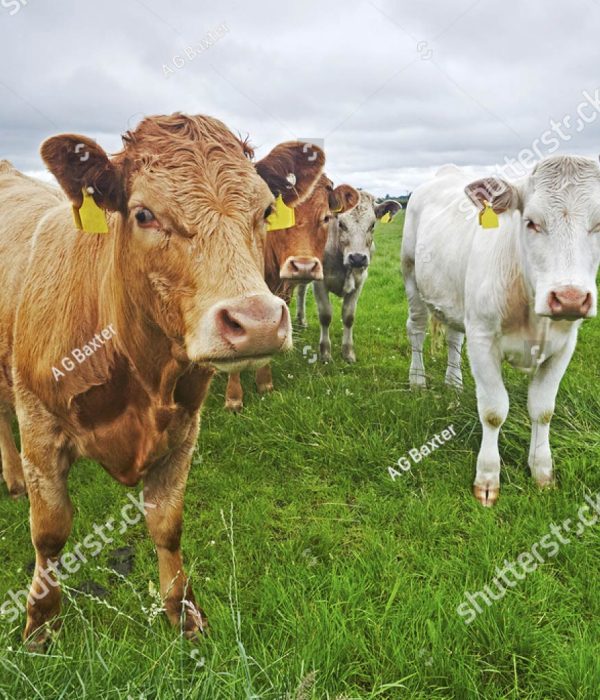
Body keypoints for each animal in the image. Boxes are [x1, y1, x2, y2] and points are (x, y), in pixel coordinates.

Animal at [0, 113, 325, 648]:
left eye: (264, 210)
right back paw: (13, 479)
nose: (257, 321)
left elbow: (167, 523)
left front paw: (183, 613)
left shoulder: (184, 430)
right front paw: (40, 626)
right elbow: (49, 532)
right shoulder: (40, 424)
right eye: (144, 214)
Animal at [296, 191, 401, 362]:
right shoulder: (320, 283)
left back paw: (301, 320)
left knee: (301, 290)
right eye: (341, 224)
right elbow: (325, 315)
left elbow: (349, 316)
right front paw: (325, 352)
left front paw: (348, 352)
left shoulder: (359, 281)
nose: (357, 258)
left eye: (372, 225)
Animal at [401, 156, 600, 506]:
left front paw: (542, 471)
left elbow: (543, 410)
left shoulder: (565, 346)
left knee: (454, 337)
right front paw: (487, 479)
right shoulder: (482, 340)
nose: (570, 298)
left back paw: (454, 383)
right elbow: (494, 411)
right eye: (531, 222)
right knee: (417, 331)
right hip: (411, 274)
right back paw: (418, 380)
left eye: (599, 224)